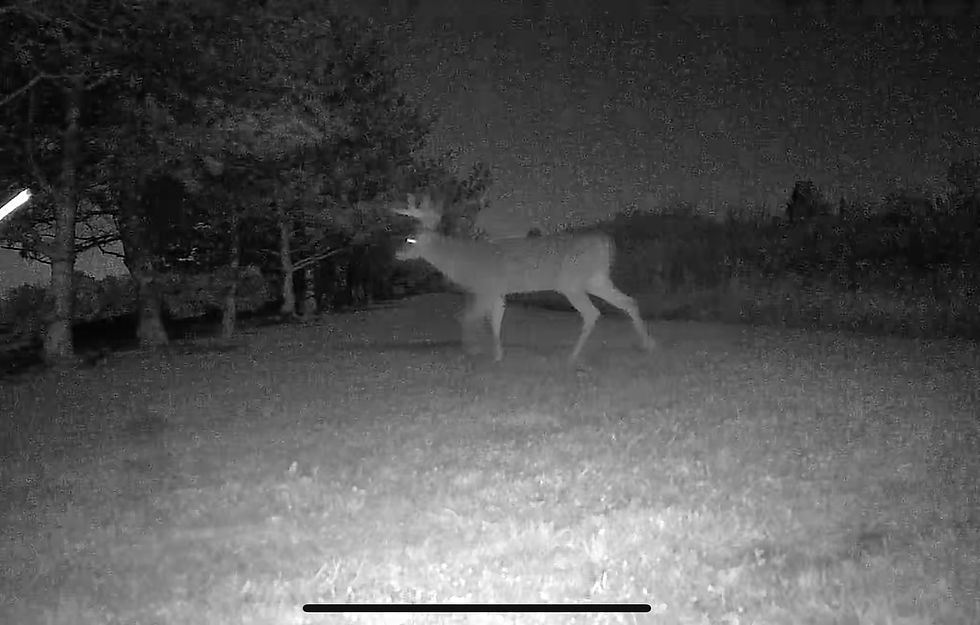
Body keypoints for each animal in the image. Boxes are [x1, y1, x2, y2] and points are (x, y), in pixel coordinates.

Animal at [392, 192, 656, 362]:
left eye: (410, 239)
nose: (397, 254)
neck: (462, 261)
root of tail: (606, 242)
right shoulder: (498, 292)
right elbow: (495, 321)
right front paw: (498, 355)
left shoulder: (485, 287)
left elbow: (468, 318)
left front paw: (472, 351)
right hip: (596, 279)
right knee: (628, 301)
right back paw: (647, 345)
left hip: (571, 282)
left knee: (592, 312)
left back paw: (573, 355)